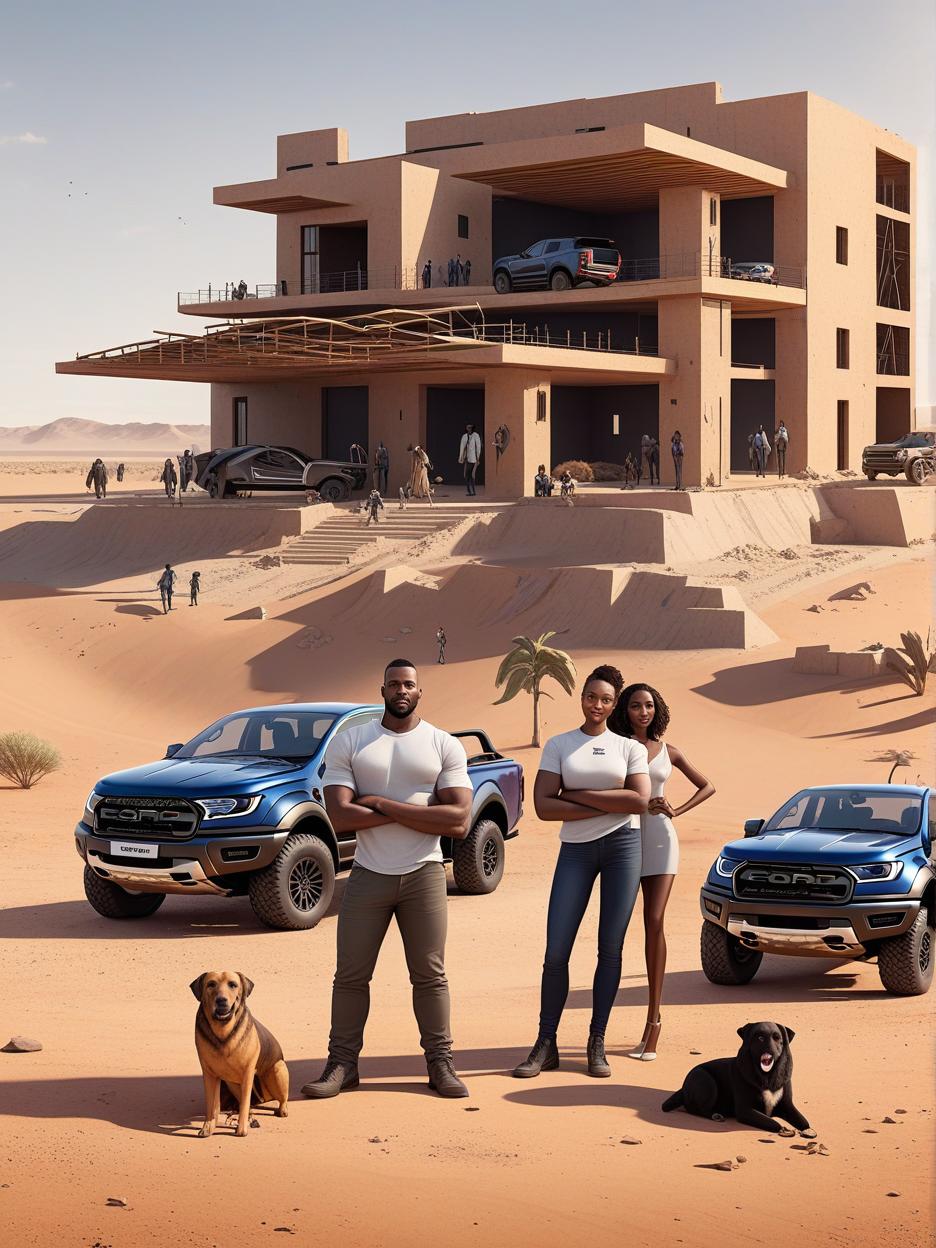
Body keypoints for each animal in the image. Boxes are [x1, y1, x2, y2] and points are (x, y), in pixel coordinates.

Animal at [190, 968, 289, 1138]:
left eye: (233, 984)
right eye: (211, 984)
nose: (221, 1000)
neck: (223, 1030)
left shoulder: (248, 1072)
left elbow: (244, 1103)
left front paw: (241, 1129)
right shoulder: (209, 1074)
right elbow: (212, 1105)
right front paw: (208, 1127)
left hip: (278, 1068)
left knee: (282, 1099)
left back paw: (281, 1110)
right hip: (232, 1083)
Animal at [663, 1018, 818, 1138]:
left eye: (777, 1038)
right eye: (760, 1038)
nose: (770, 1050)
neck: (767, 1076)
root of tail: (683, 1087)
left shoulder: (787, 1104)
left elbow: (802, 1119)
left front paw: (808, 1130)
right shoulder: (745, 1110)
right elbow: (771, 1121)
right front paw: (782, 1128)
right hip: (706, 1080)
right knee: (696, 1108)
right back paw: (716, 1115)